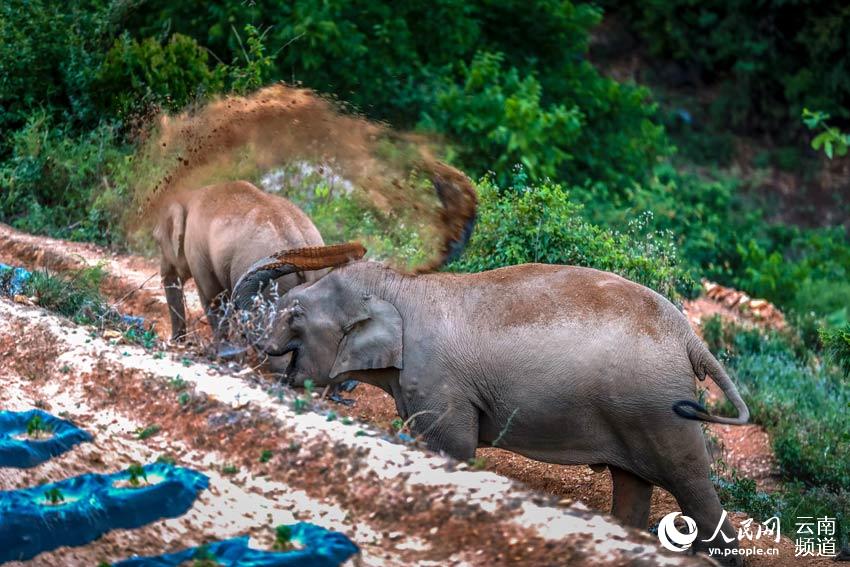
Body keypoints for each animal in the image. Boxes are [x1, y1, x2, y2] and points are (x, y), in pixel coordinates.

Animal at [232, 244, 748, 564]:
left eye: (295, 312)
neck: (405, 287)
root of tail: (691, 339)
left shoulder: (439, 382)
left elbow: (453, 450)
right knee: (634, 487)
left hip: (659, 411)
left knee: (691, 485)